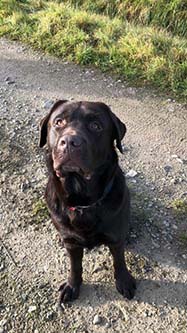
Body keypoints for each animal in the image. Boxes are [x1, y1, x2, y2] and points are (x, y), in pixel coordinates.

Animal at [39, 99, 136, 304]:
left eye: (95, 126)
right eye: (58, 122)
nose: (69, 142)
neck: (83, 202)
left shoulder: (116, 238)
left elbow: (119, 261)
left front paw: (124, 281)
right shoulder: (72, 243)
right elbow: (75, 266)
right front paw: (72, 286)